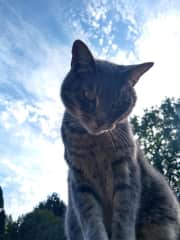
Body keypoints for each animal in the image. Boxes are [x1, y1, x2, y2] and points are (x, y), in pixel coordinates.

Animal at [60, 40, 180, 239]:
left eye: (118, 103)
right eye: (88, 95)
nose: (100, 121)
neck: (96, 143)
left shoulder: (127, 172)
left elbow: (124, 217)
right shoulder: (79, 180)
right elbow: (91, 219)